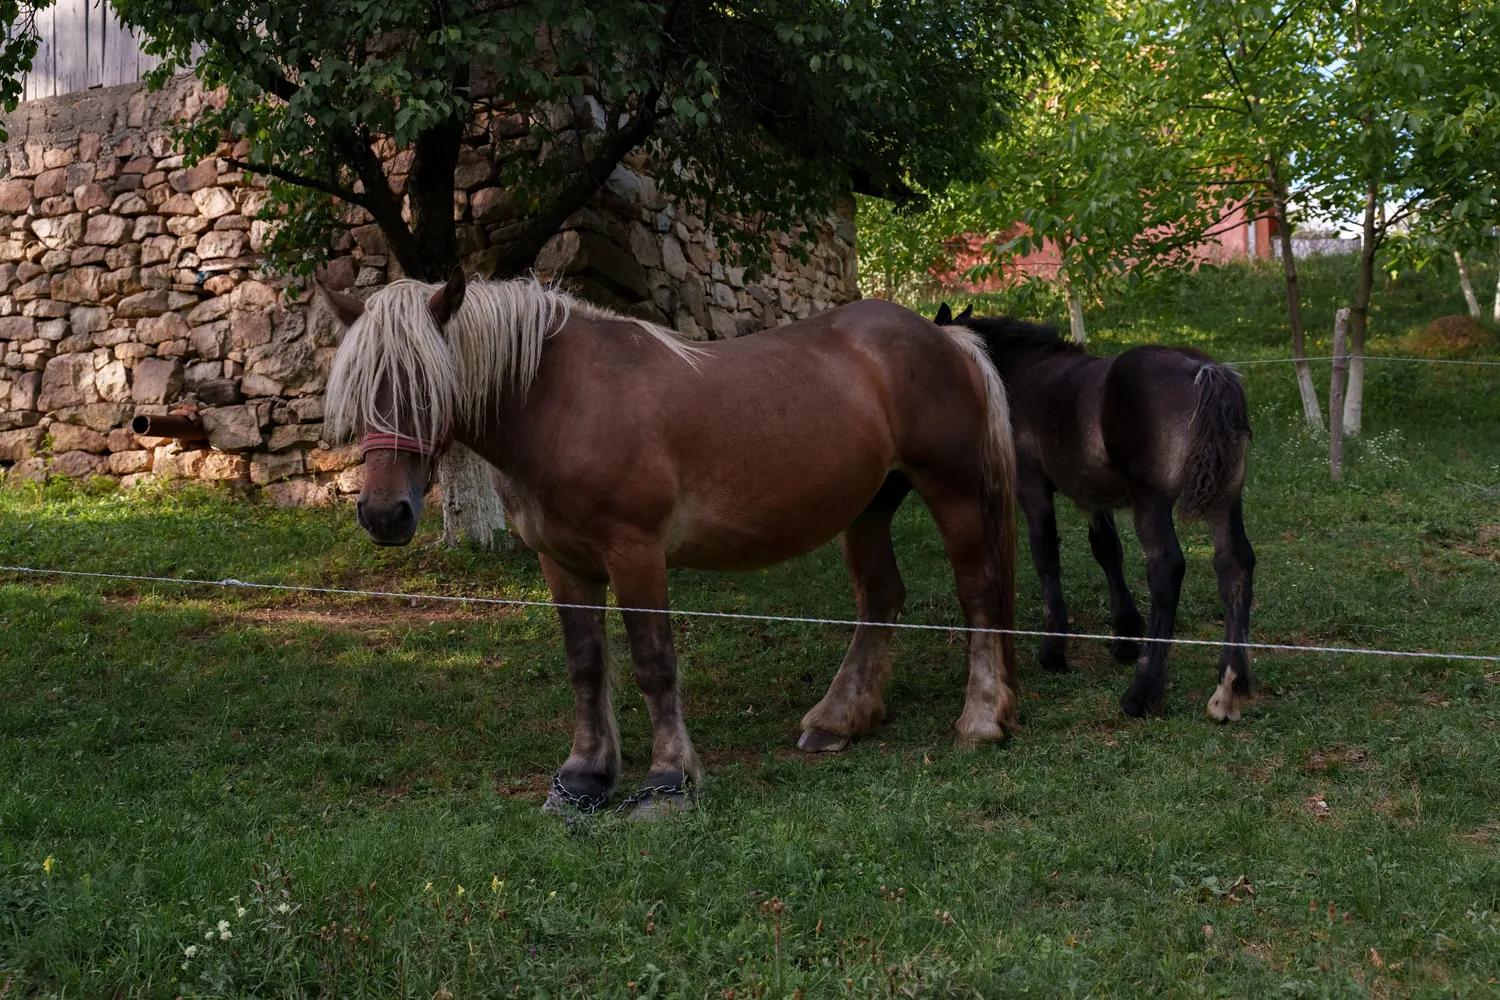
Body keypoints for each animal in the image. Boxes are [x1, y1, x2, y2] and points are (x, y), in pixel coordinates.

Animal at [320, 272, 1021, 817]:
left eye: (425, 384)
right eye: (359, 388)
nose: (384, 515)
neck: (563, 402)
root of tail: (946, 337)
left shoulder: (635, 553)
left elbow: (653, 663)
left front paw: (667, 781)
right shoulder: (563, 562)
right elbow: (586, 665)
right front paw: (584, 776)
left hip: (952, 490)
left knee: (977, 591)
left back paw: (981, 720)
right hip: (869, 506)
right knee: (880, 598)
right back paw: (837, 721)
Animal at [934, 303, 1256, 722]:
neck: (1026, 372)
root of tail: (1207, 372)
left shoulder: (1032, 486)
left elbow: (1045, 554)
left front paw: (1054, 649)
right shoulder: (1094, 497)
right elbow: (1107, 551)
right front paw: (1125, 636)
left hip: (1151, 502)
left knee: (1167, 569)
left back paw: (1141, 692)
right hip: (1225, 500)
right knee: (1234, 565)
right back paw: (1229, 686)